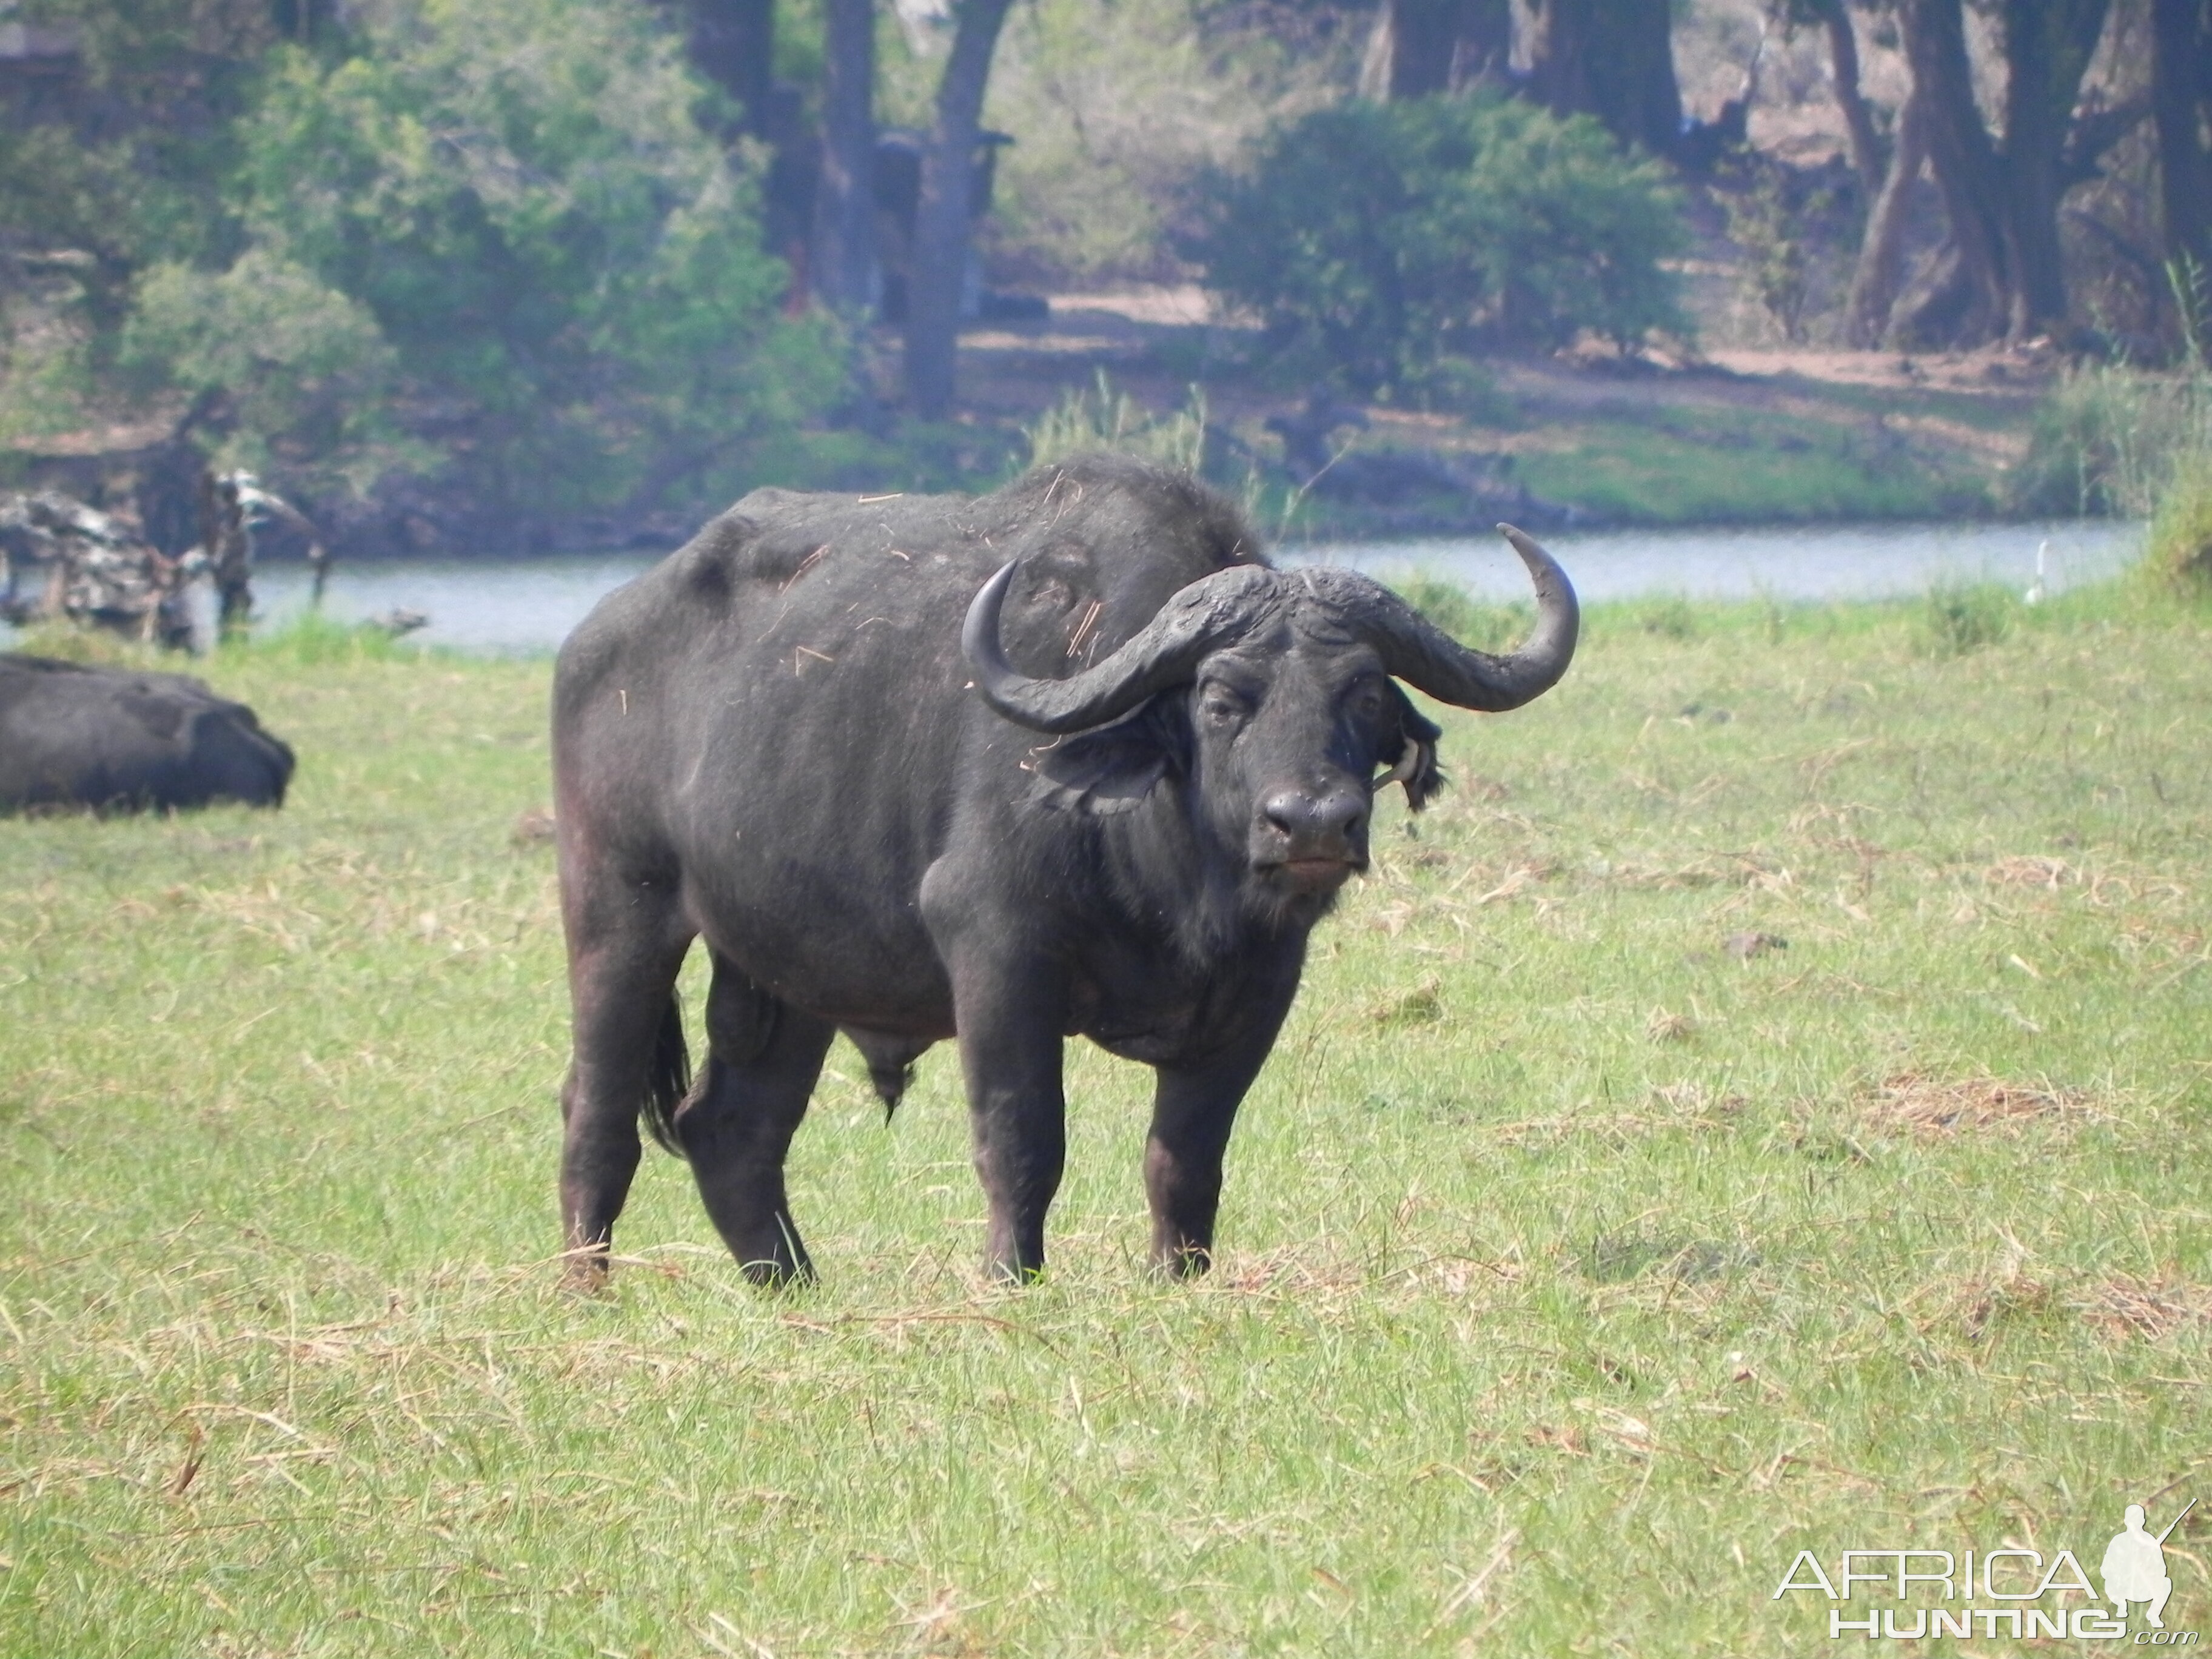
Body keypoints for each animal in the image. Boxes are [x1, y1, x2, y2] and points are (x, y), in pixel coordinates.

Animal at [551, 455, 1575, 1282]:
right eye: (1221, 700)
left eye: (1363, 694)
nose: (1313, 822)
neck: (1170, 875)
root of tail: (595, 639)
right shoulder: (999, 955)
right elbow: (1022, 1137)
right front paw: (1012, 1279)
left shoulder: (1263, 985)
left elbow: (1186, 1153)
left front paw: (1179, 1276)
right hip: (618, 907)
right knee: (598, 1110)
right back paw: (586, 1288)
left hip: (791, 969)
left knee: (733, 1130)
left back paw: (792, 1287)